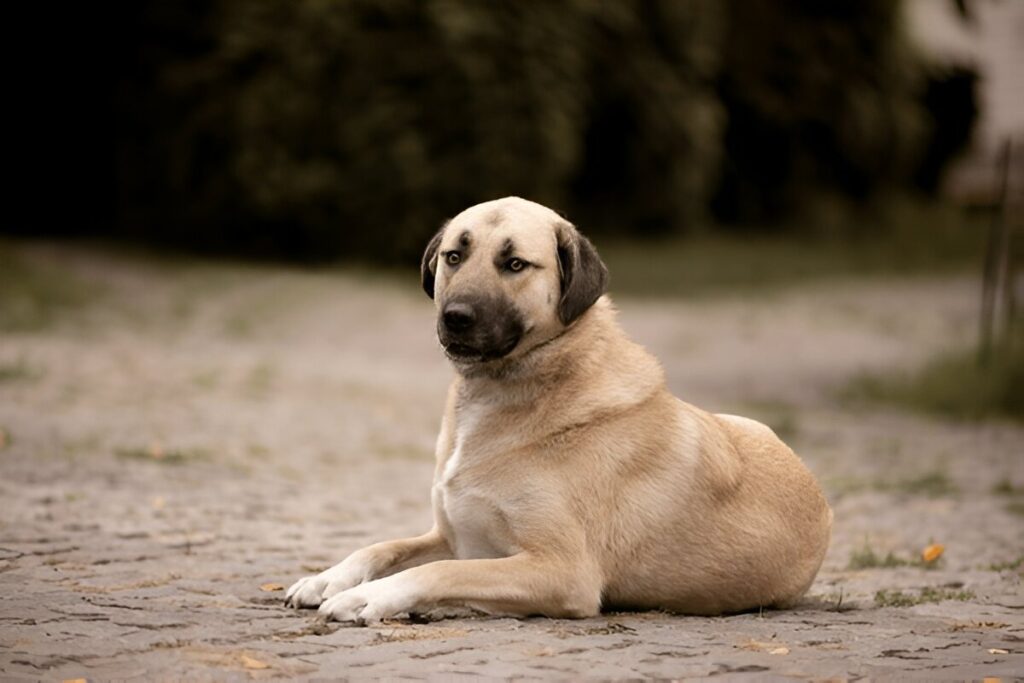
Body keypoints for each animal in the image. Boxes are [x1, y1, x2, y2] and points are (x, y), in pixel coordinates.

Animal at [286, 194, 831, 622]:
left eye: (515, 264)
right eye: (454, 256)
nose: (455, 318)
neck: (505, 390)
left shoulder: (563, 571)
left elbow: (440, 570)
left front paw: (368, 598)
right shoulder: (456, 534)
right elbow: (385, 546)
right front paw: (328, 578)